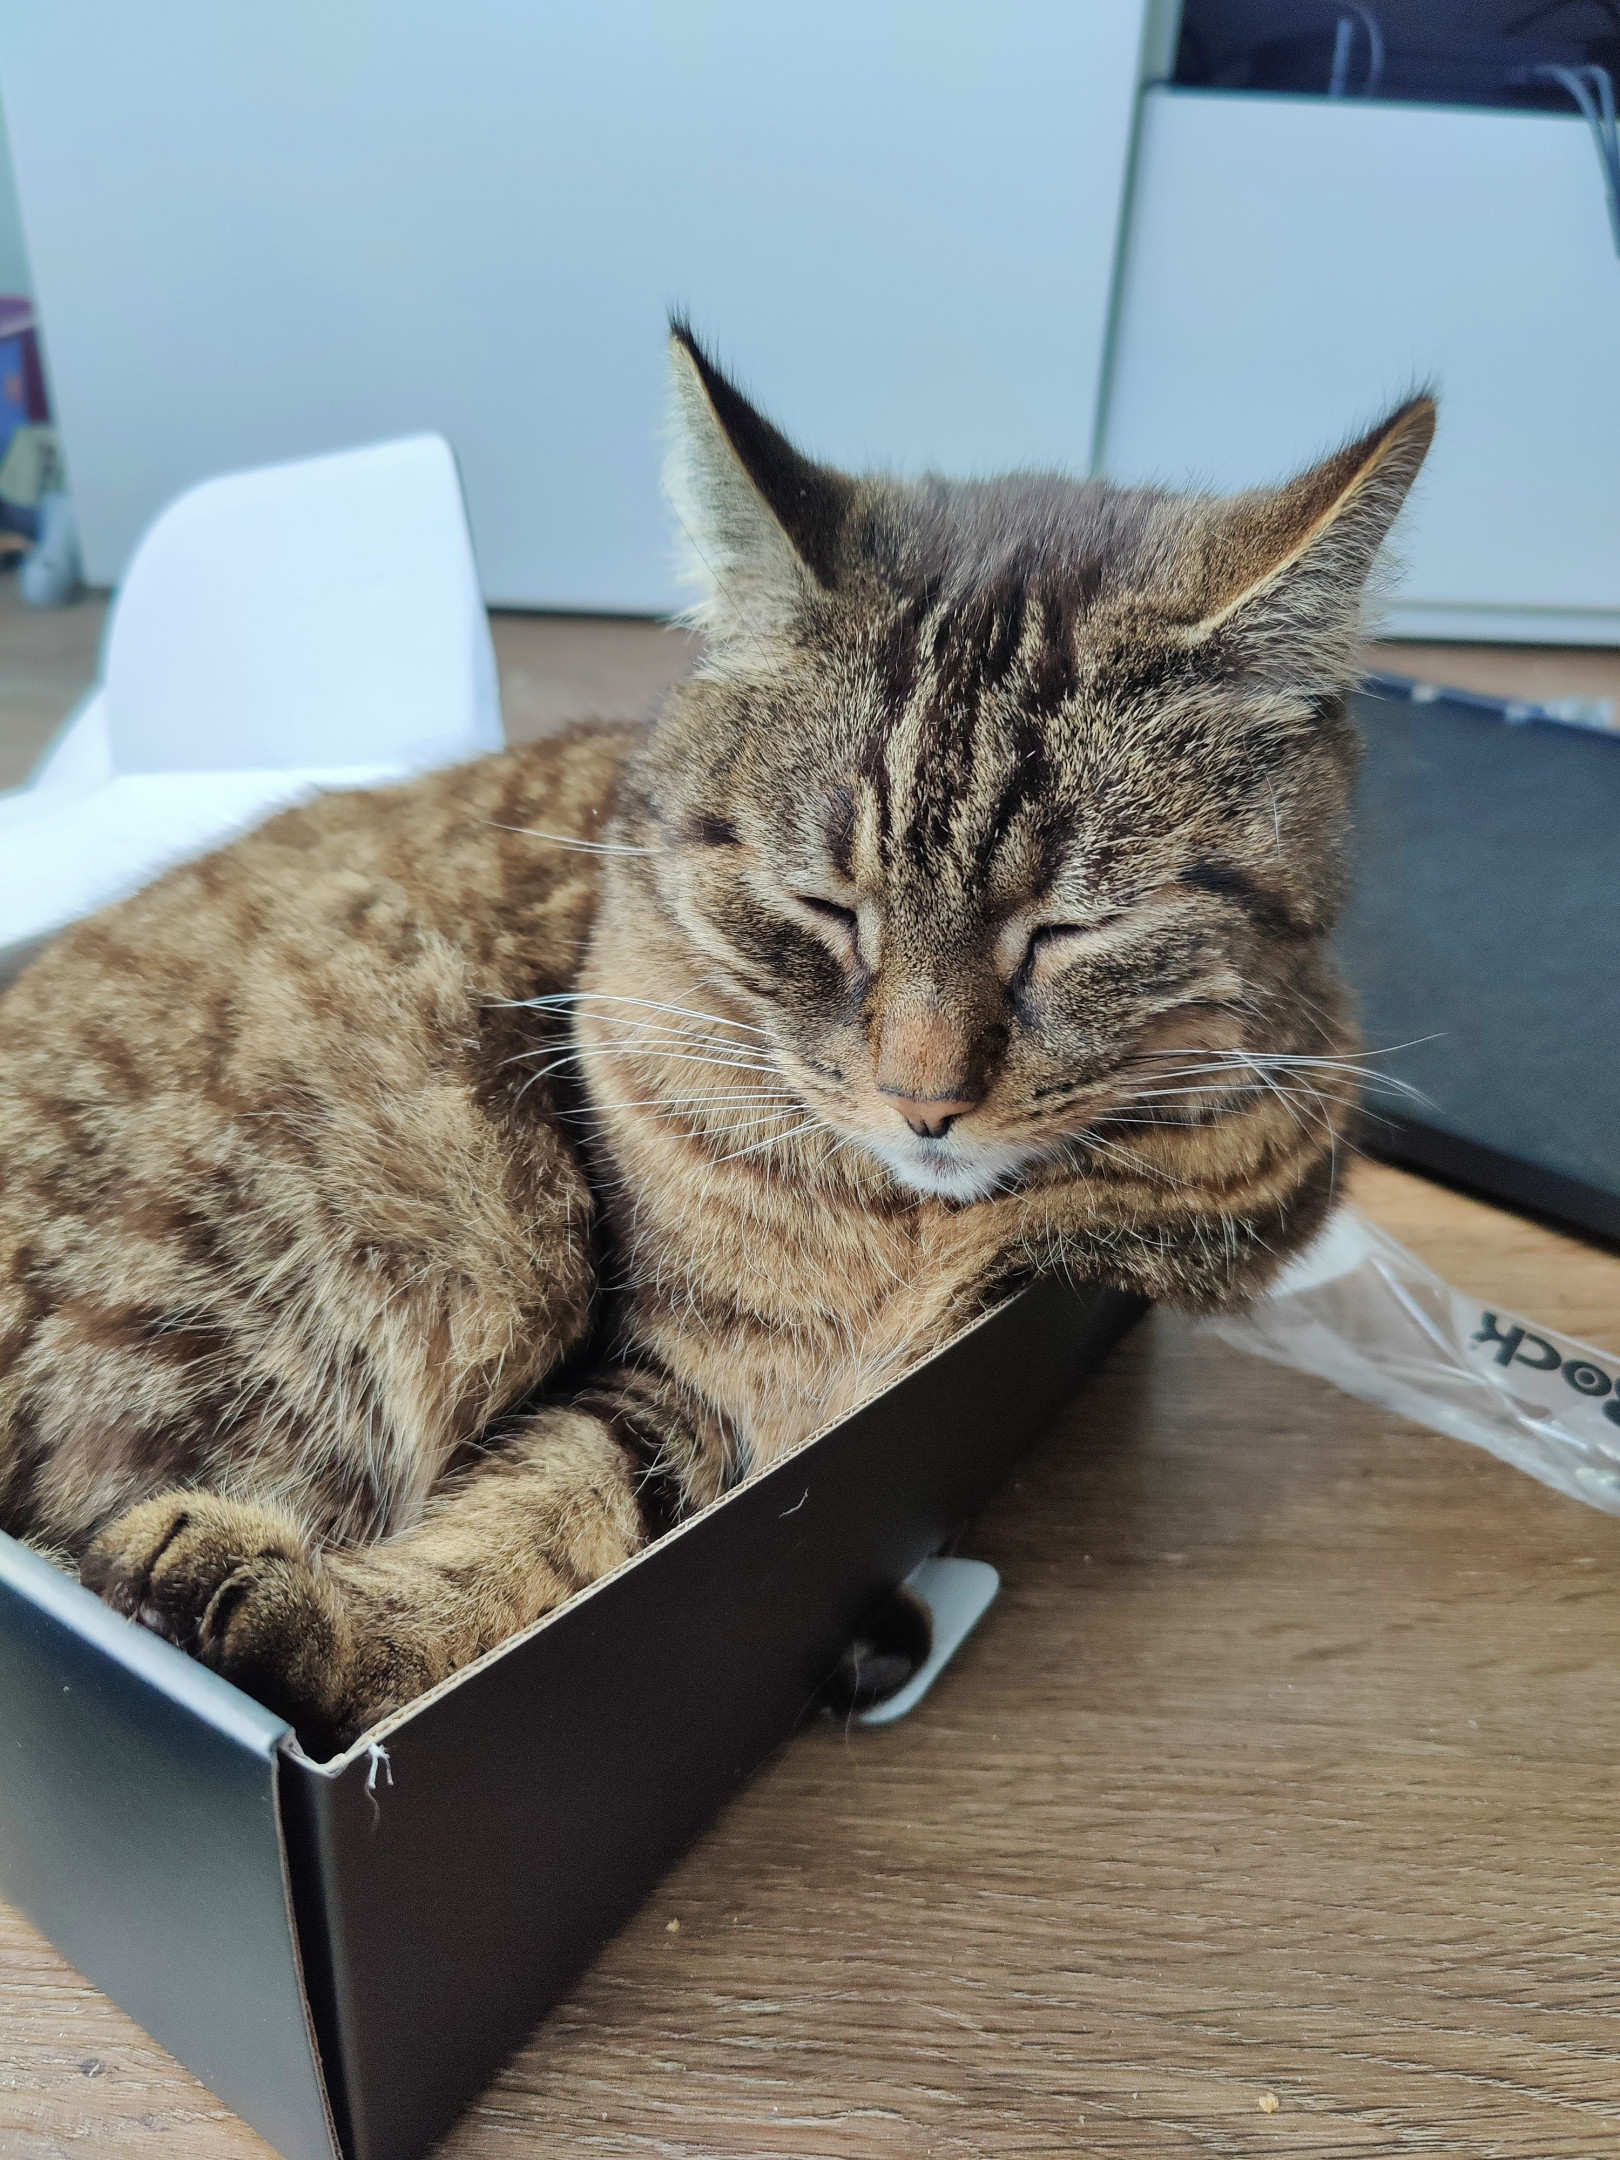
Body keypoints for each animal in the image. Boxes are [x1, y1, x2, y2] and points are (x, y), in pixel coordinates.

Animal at [0, 326, 1433, 1753]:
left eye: (1074, 927)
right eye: (824, 904)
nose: (924, 1099)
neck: (901, 1240)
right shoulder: (669, 1366)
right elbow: (546, 1510)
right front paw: (309, 1619)